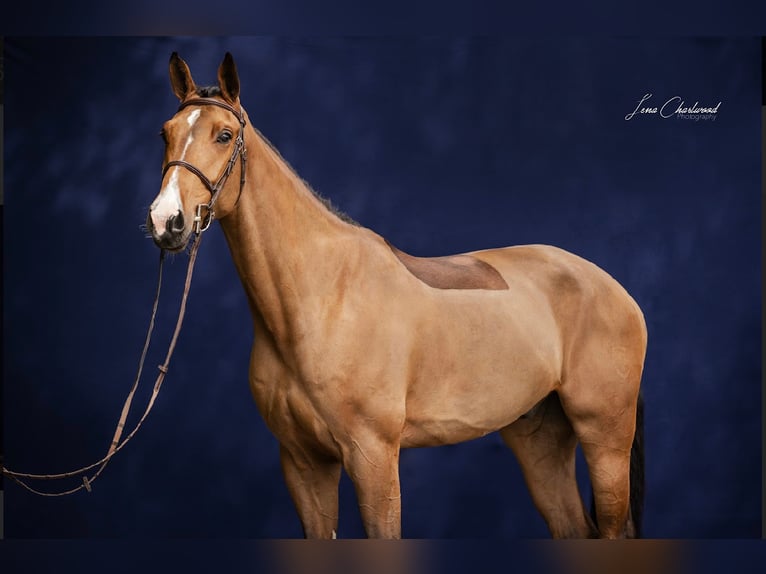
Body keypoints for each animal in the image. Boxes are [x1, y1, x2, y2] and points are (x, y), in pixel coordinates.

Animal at [146, 52, 647, 539]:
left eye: (224, 135)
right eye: (165, 133)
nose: (166, 221)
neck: (322, 299)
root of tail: (615, 288)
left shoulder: (373, 457)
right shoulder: (303, 464)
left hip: (606, 437)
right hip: (538, 437)